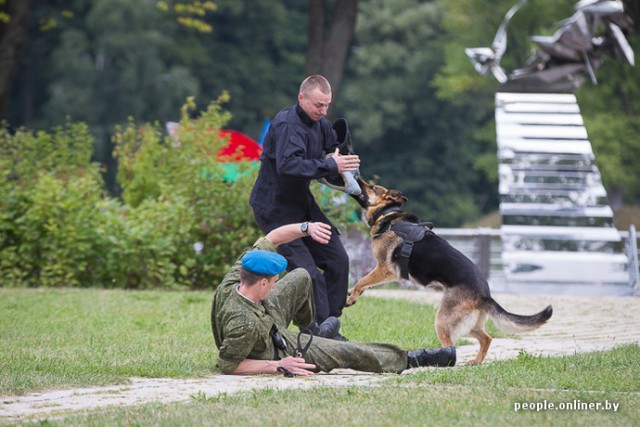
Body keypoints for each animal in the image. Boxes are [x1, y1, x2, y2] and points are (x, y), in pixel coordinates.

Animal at [348, 178, 552, 364]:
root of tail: (484, 295)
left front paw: (351, 297)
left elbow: (361, 280)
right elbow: (364, 283)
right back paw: (476, 361)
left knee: (451, 346)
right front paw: (352, 294)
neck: (388, 215)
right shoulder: (382, 271)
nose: (356, 177)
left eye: (372, 187)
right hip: (468, 324)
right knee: (486, 338)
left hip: (442, 321)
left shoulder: (385, 269)